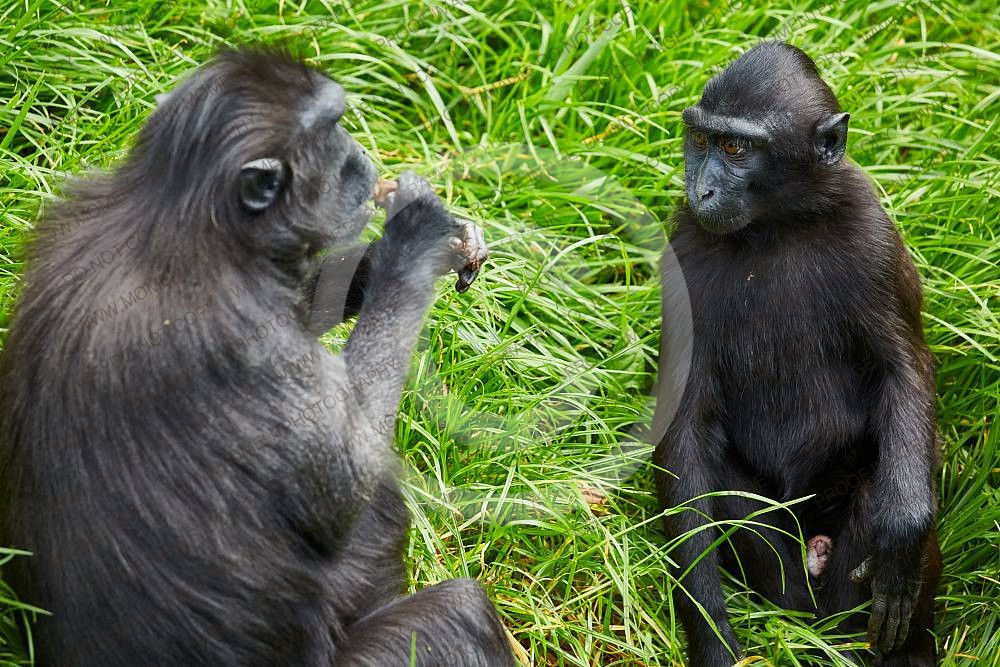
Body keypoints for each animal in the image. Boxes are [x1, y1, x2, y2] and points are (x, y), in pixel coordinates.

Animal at [0, 48, 514, 667]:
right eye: (334, 128)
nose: (364, 158)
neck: (178, 219)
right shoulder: (253, 340)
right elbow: (351, 480)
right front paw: (414, 235)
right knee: (457, 605)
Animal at [652, 42, 941, 667]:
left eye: (736, 149)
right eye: (701, 139)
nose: (701, 191)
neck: (776, 227)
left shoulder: (872, 236)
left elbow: (903, 368)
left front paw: (904, 535)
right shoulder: (683, 248)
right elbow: (684, 424)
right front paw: (709, 629)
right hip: (785, 578)